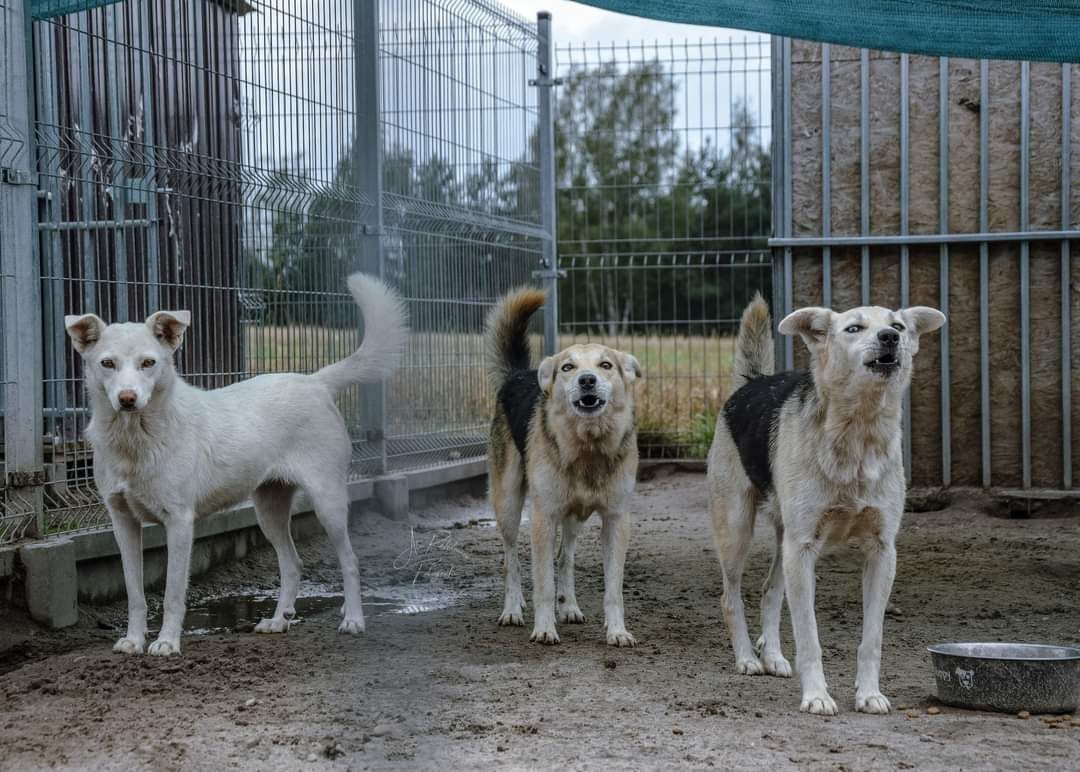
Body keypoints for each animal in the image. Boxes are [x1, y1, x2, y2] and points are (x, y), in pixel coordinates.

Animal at [65, 275, 408, 656]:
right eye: (108, 364)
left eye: (148, 363)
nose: (127, 399)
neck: (136, 438)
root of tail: (314, 381)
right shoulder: (122, 522)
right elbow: (135, 593)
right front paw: (134, 640)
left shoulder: (179, 523)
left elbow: (172, 593)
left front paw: (167, 642)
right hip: (269, 510)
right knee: (292, 564)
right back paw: (278, 621)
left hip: (327, 502)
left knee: (349, 561)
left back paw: (353, 619)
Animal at [488, 289, 639, 647]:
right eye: (568, 367)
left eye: (605, 365)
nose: (587, 380)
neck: (588, 449)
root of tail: (518, 374)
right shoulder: (543, 518)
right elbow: (542, 583)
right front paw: (544, 628)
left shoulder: (617, 520)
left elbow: (613, 589)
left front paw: (617, 630)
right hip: (509, 505)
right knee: (511, 560)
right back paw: (512, 608)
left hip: (574, 518)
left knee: (565, 558)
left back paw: (569, 606)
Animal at [704, 293, 941, 716]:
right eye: (853, 328)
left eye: (897, 326)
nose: (889, 338)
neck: (859, 433)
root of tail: (752, 382)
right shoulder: (803, 551)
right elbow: (809, 637)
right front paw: (816, 695)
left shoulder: (881, 552)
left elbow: (872, 638)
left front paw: (869, 694)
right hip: (736, 531)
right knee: (730, 598)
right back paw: (747, 658)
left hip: (785, 543)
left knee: (769, 591)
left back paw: (773, 656)